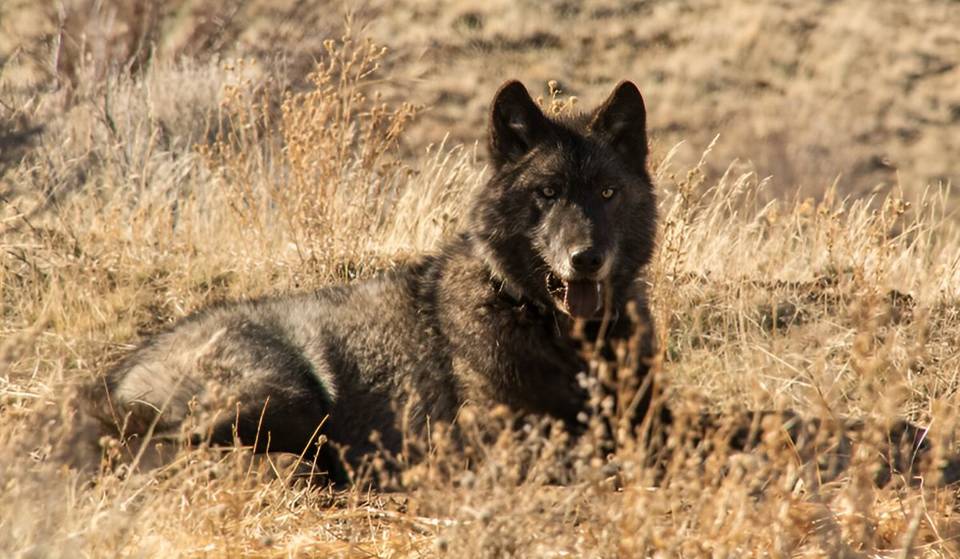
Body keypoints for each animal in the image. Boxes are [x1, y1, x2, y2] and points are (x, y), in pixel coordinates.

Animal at [103, 80, 659, 483]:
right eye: (547, 192)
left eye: (607, 193)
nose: (586, 258)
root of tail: (119, 371)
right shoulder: (502, 442)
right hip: (284, 395)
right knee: (174, 452)